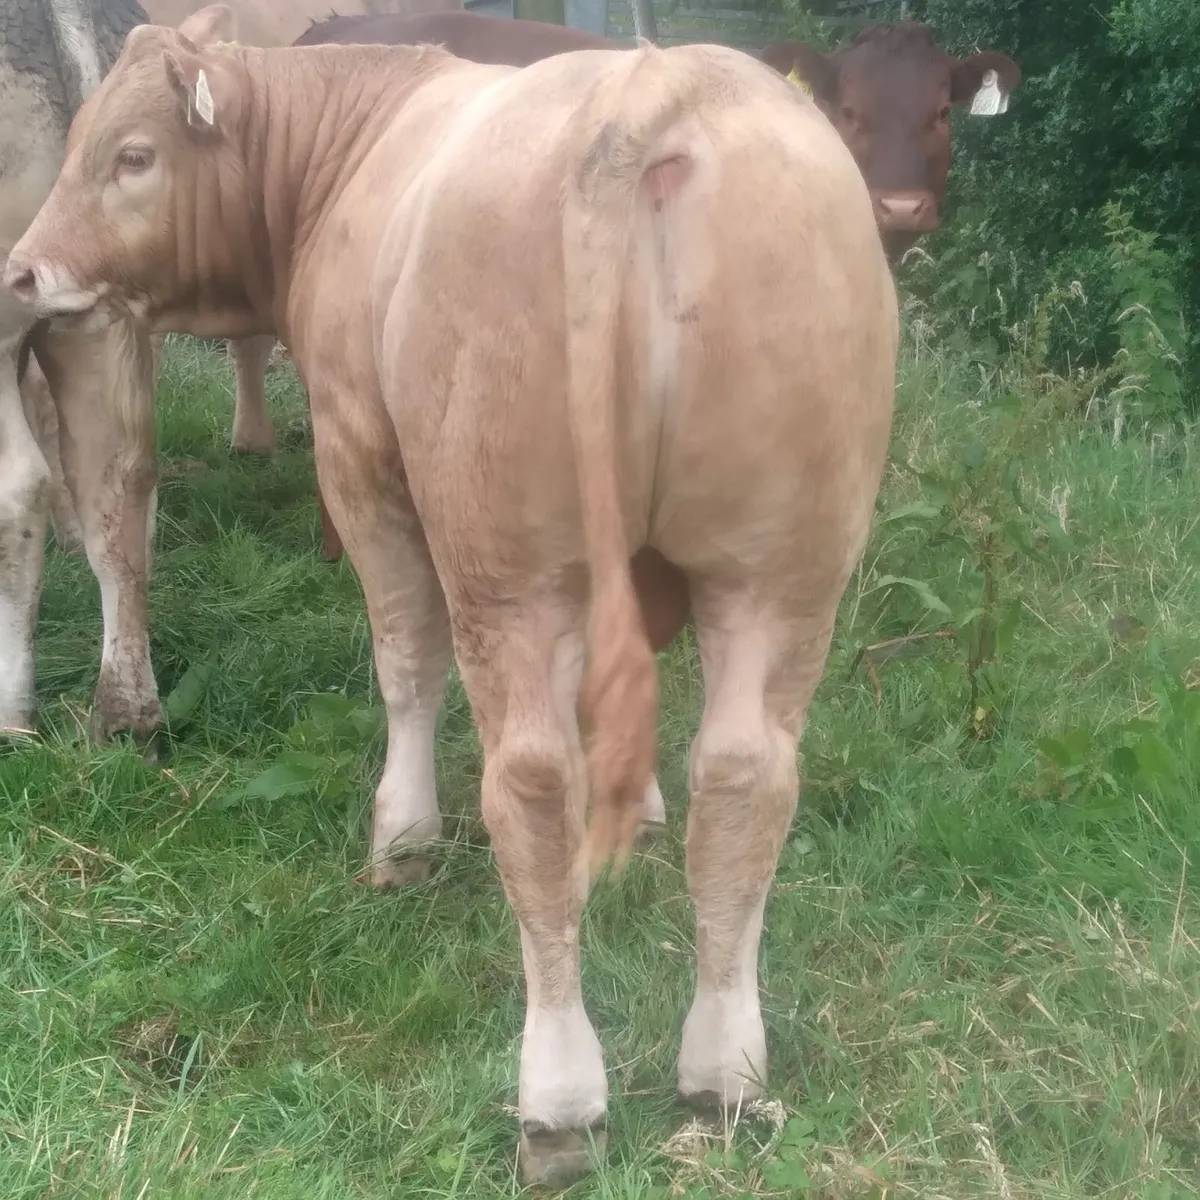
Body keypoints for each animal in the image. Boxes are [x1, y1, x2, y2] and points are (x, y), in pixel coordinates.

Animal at [7, 5, 897, 1182]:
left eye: (133, 157)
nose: (23, 271)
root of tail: (659, 91)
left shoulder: (357, 455)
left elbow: (402, 657)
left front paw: (403, 835)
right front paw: (645, 812)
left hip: (506, 558)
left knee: (530, 780)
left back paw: (559, 1095)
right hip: (783, 570)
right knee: (749, 779)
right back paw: (724, 1067)